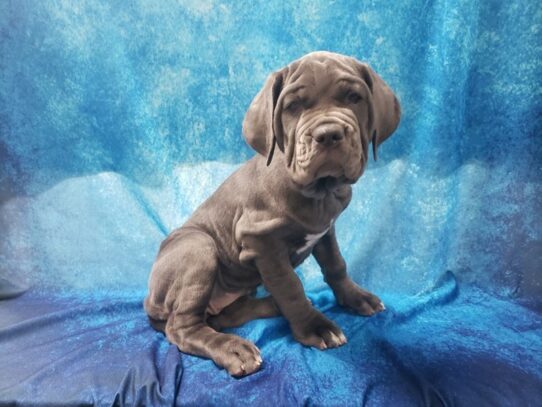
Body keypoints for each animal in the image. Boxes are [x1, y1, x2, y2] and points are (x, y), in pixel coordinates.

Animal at [143, 51, 400, 380]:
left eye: (354, 98)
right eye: (293, 107)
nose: (328, 134)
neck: (320, 191)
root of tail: (150, 301)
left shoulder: (325, 231)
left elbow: (336, 266)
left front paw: (356, 297)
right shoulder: (262, 244)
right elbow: (290, 286)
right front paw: (314, 327)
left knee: (228, 313)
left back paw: (269, 308)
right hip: (198, 246)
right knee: (183, 327)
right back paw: (233, 349)